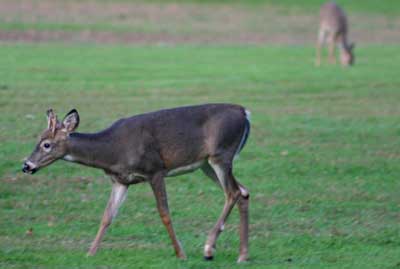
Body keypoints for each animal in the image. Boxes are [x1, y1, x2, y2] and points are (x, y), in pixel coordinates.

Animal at [22, 103, 250, 262]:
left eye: (46, 144)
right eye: (38, 140)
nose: (26, 165)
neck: (112, 150)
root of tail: (244, 112)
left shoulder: (155, 169)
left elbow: (164, 213)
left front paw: (180, 254)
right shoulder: (120, 181)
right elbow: (107, 216)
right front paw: (90, 253)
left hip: (221, 154)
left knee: (232, 193)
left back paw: (209, 249)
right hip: (207, 164)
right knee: (243, 191)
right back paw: (242, 255)